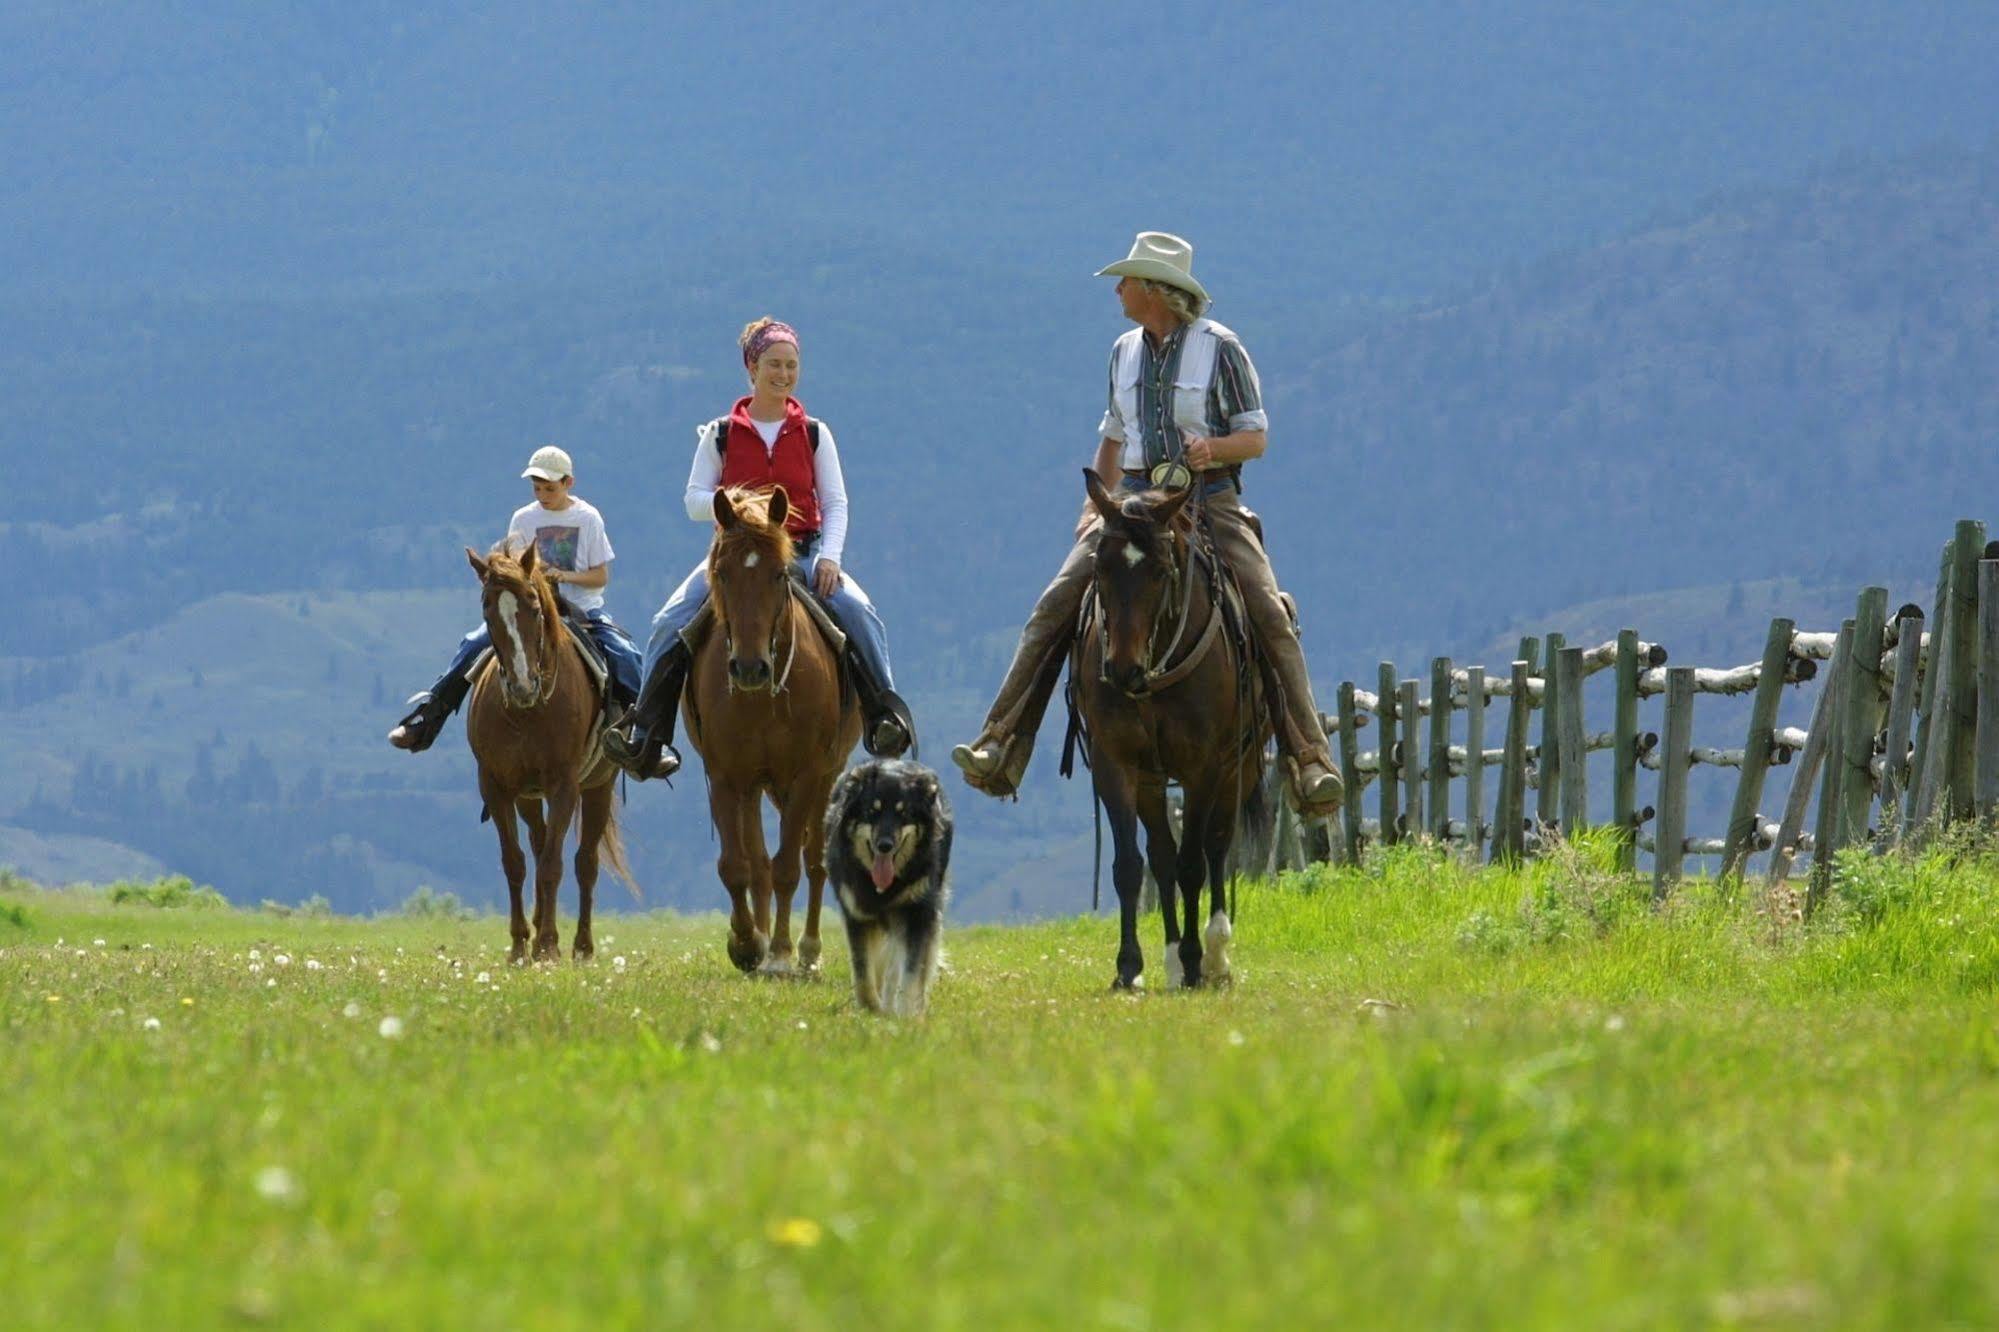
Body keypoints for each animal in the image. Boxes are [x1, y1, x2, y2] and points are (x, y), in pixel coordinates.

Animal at [461, 544, 631, 964]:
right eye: (487, 609)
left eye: (534, 606)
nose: (522, 685)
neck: (529, 711)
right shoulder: (496, 786)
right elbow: (516, 862)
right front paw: (521, 945)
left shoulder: (563, 786)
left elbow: (555, 864)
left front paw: (550, 945)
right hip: (527, 796)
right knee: (537, 848)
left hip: (598, 786)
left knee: (585, 862)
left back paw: (582, 946)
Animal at [683, 482, 855, 972]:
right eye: (721, 574)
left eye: (780, 575)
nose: (749, 668)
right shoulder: (725, 776)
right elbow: (736, 866)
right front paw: (746, 943)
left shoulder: (806, 776)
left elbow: (788, 867)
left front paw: (779, 952)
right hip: (754, 784)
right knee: (757, 861)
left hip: (827, 776)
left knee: (814, 860)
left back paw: (808, 949)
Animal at [823, 756, 955, 1016]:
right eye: (871, 811)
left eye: (905, 813)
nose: (884, 845)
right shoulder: (856, 914)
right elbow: (863, 973)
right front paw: (872, 1008)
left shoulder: (917, 912)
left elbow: (911, 971)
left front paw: (907, 1015)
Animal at [1079, 474, 1263, 984]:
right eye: (1099, 566)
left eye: (1162, 571)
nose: (1122, 670)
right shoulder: (1116, 764)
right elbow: (1131, 865)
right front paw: (1129, 967)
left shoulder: (1204, 768)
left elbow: (1193, 864)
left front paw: (1198, 960)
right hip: (1152, 780)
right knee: (1161, 855)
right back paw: (1172, 958)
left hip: (1241, 767)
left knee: (1217, 847)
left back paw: (1215, 954)